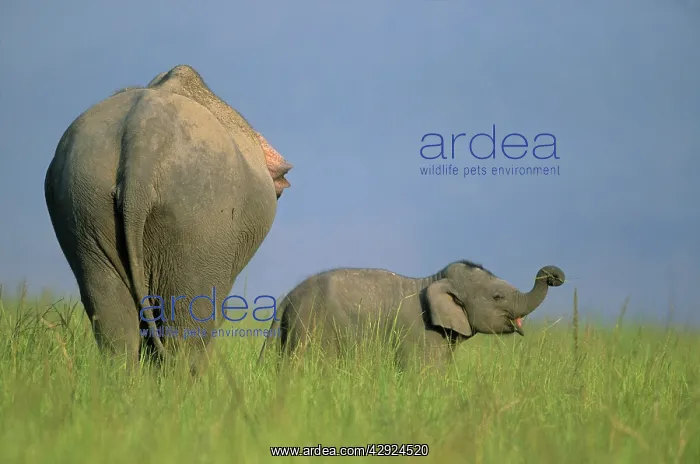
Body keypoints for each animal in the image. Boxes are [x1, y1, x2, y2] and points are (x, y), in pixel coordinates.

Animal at [258, 261, 565, 369]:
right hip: (313, 329)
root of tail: (286, 299)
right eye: (498, 297)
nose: (553, 276)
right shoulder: (421, 334)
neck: (434, 279)